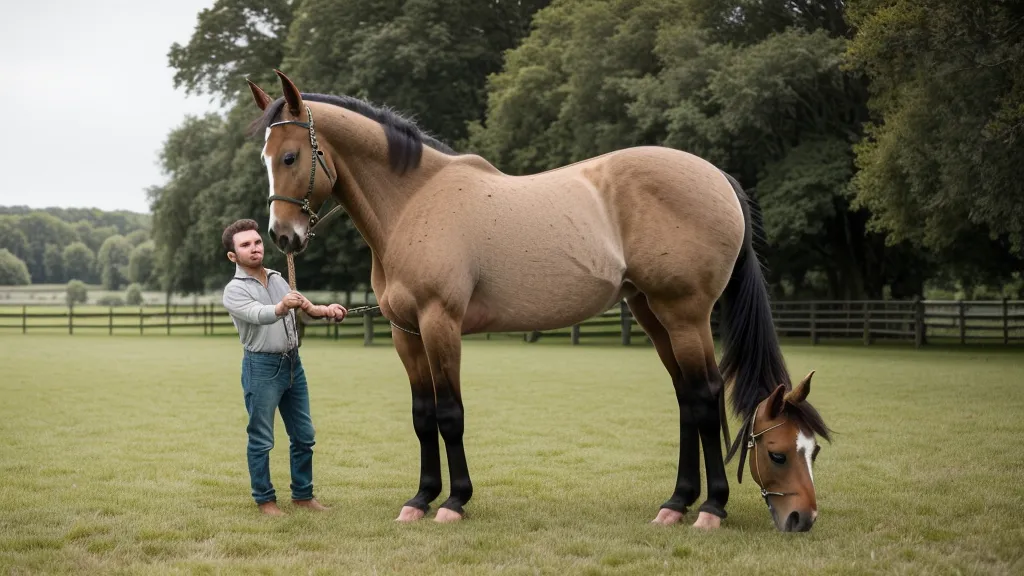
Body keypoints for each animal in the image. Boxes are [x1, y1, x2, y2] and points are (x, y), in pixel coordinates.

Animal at [246, 70, 832, 531]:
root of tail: (717, 178)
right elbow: (422, 415)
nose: (282, 236)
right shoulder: (405, 332)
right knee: (688, 398)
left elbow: (450, 413)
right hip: (652, 312)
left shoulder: (440, 324)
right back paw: (677, 503)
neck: (415, 202)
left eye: (291, 155)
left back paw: (711, 509)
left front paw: (454, 501)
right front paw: (420, 497)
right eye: (266, 159)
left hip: (684, 313)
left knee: (707, 395)